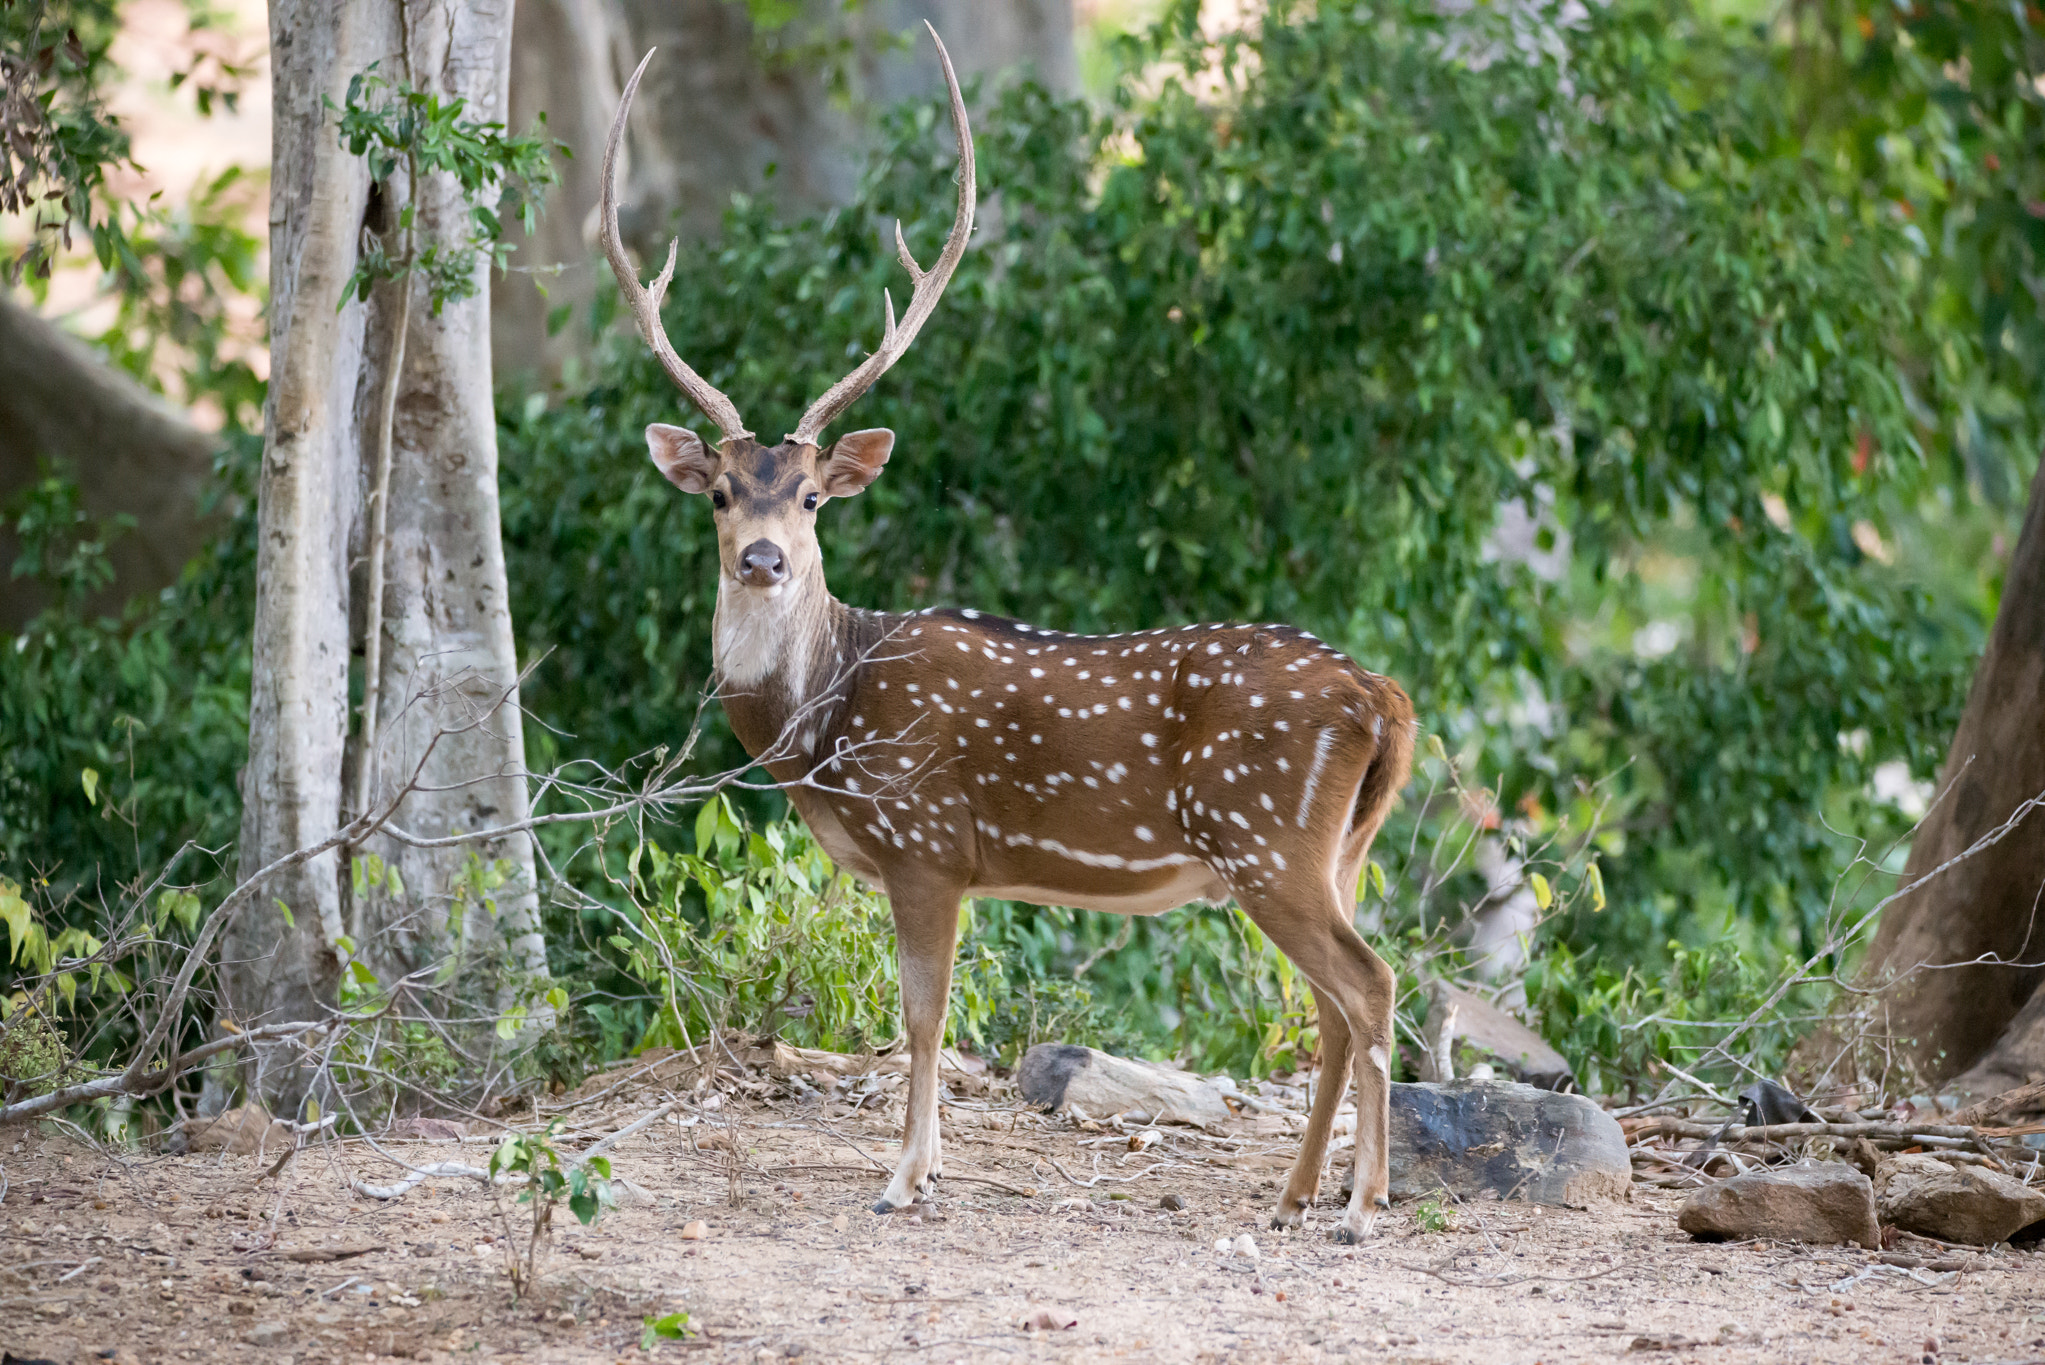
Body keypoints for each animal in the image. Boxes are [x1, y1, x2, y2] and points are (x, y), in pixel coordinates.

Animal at [598, 28, 1416, 1242]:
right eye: (720, 495)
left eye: (810, 497)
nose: (762, 559)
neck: (819, 725)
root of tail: (1383, 699)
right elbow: (929, 1020)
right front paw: (926, 1167)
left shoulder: (926, 843)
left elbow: (921, 1017)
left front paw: (901, 1178)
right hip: (1335, 848)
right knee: (1332, 1002)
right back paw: (1292, 1194)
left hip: (1266, 836)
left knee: (1369, 985)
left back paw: (1361, 1204)